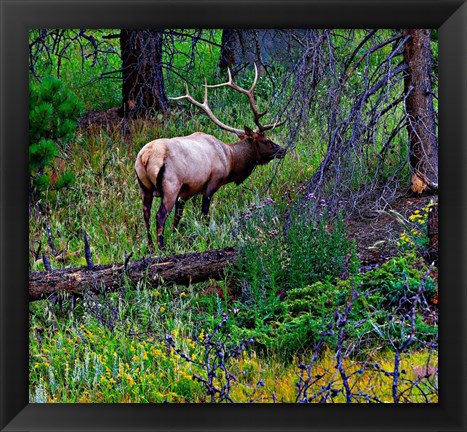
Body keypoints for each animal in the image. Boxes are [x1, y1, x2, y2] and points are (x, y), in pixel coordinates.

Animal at [134, 63, 286, 250]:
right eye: (266, 140)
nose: (282, 150)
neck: (230, 160)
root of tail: (145, 157)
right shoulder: (211, 182)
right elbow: (205, 214)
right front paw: (207, 236)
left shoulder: (186, 191)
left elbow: (178, 216)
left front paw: (176, 237)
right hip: (170, 185)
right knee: (159, 216)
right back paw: (161, 248)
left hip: (144, 187)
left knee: (146, 215)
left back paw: (151, 247)